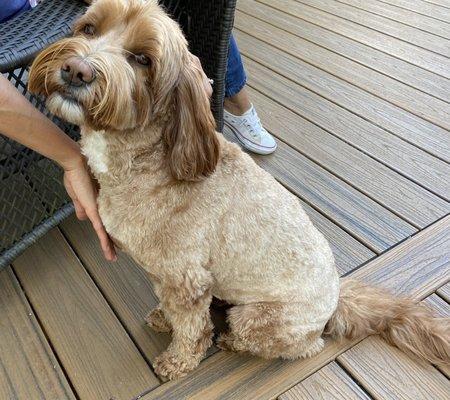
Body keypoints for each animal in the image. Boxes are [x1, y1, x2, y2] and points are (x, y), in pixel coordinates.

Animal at [29, 0, 448, 378]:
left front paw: (178, 361)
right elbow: (171, 306)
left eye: (143, 60)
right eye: (89, 28)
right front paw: (164, 317)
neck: (150, 159)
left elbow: (193, 329)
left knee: (300, 346)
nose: (76, 70)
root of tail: (335, 302)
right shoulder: (164, 273)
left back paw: (233, 340)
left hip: (260, 316)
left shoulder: (187, 279)